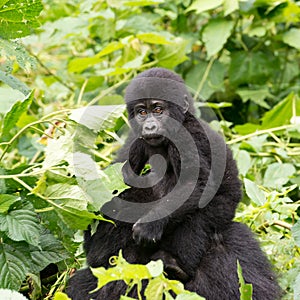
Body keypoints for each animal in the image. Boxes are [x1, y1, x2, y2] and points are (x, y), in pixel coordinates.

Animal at [66, 68, 282, 300]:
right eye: (142, 112)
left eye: (158, 109)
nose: (150, 126)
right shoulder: (135, 139)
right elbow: (120, 179)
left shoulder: (188, 135)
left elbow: (196, 184)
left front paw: (150, 225)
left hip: (223, 212)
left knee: (199, 218)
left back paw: (175, 265)